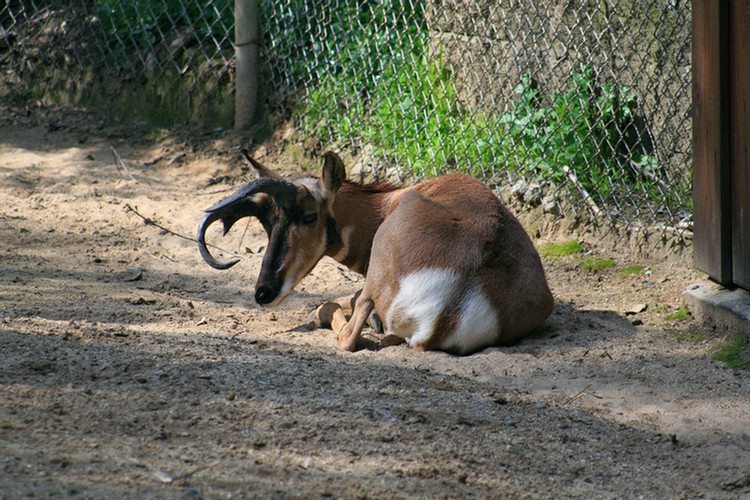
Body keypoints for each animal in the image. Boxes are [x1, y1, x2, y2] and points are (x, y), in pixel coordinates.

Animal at [197, 150, 556, 354]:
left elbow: (327, 307)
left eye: (310, 215)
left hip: (376, 282)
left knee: (346, 332)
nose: (264, 293)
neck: (388, 202)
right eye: (269, 222)